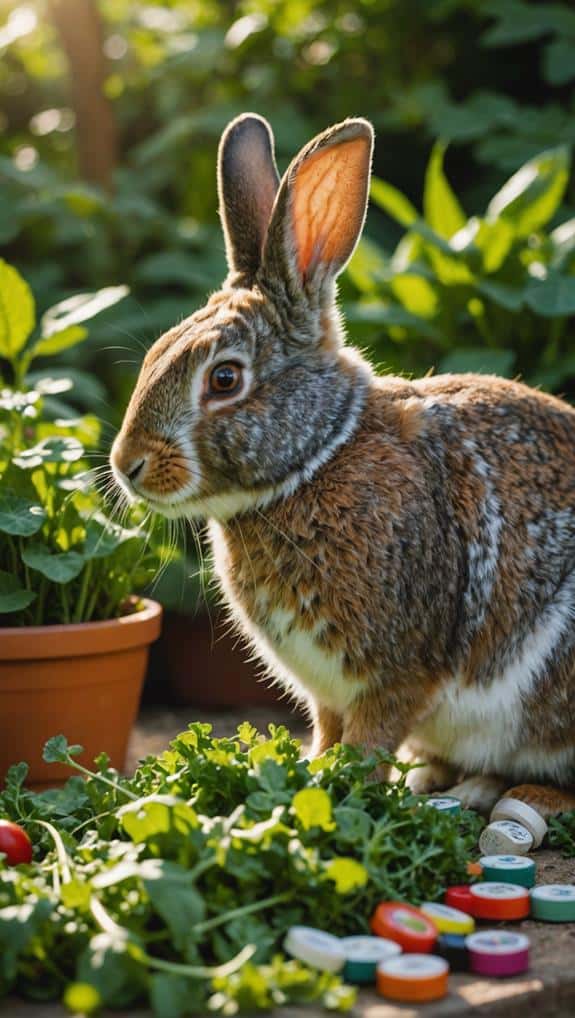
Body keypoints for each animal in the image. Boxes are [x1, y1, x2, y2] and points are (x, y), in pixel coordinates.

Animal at [111, 113, 575, 818]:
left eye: (224, 379)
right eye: (155, 354)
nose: (126, 465)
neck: (318, 458)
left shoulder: (399, 672)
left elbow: (371, 739)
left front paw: (342, 784)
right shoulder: (327, 690)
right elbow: (328, 733)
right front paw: (310, 772)